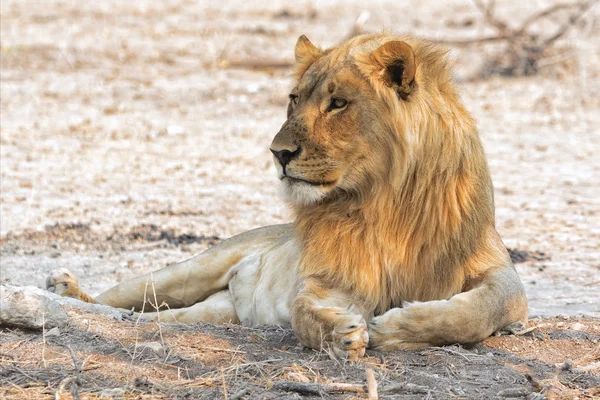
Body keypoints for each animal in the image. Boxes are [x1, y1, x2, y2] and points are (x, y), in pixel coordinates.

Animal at [45, 33, 524, 360]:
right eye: (294, 99)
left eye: (338, 103)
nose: (278, 153)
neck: (380, 200)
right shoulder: (330, 275)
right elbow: (302, 310)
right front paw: (340, 334)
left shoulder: (501, 274)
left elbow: (479, 311)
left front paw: (398, 327)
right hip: (191, 268)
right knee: (122, 296)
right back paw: (67, 291)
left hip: (211, 312)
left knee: (155, 318)